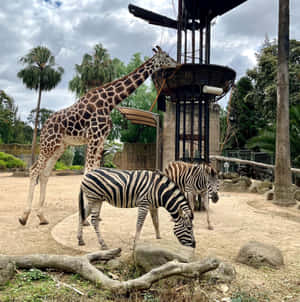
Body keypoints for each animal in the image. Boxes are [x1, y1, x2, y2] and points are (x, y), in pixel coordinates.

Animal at [18, 46, 177, 226]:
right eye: (166, 56)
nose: (177, 64)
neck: (109, 102)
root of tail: (44, 126)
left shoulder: (101, 139)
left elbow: (94, 172)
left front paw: (95, 214)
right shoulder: (94, 137)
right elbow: (87, 172)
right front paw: (85, 218)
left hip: (60, 147)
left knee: (45, 174)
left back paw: (42, 216)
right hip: (48, 144)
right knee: (33, 170)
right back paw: (24, 217)